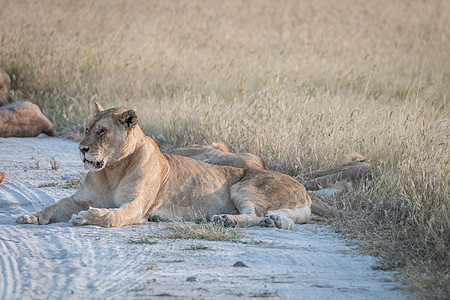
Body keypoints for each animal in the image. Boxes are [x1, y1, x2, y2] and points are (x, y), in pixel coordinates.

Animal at [17, 102, 312, 229]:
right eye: (87, 128)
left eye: (102, 131)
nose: (82, 149)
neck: (111, 170)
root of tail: (304, 190)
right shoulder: (78, 198)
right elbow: (54, 207)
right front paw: (31, 217)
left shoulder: (137, 206)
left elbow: (113, 216)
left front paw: (86, 218)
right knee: (274, 217)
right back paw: (273, 221)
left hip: (244, 187)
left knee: (253, 214)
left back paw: (228, 219)